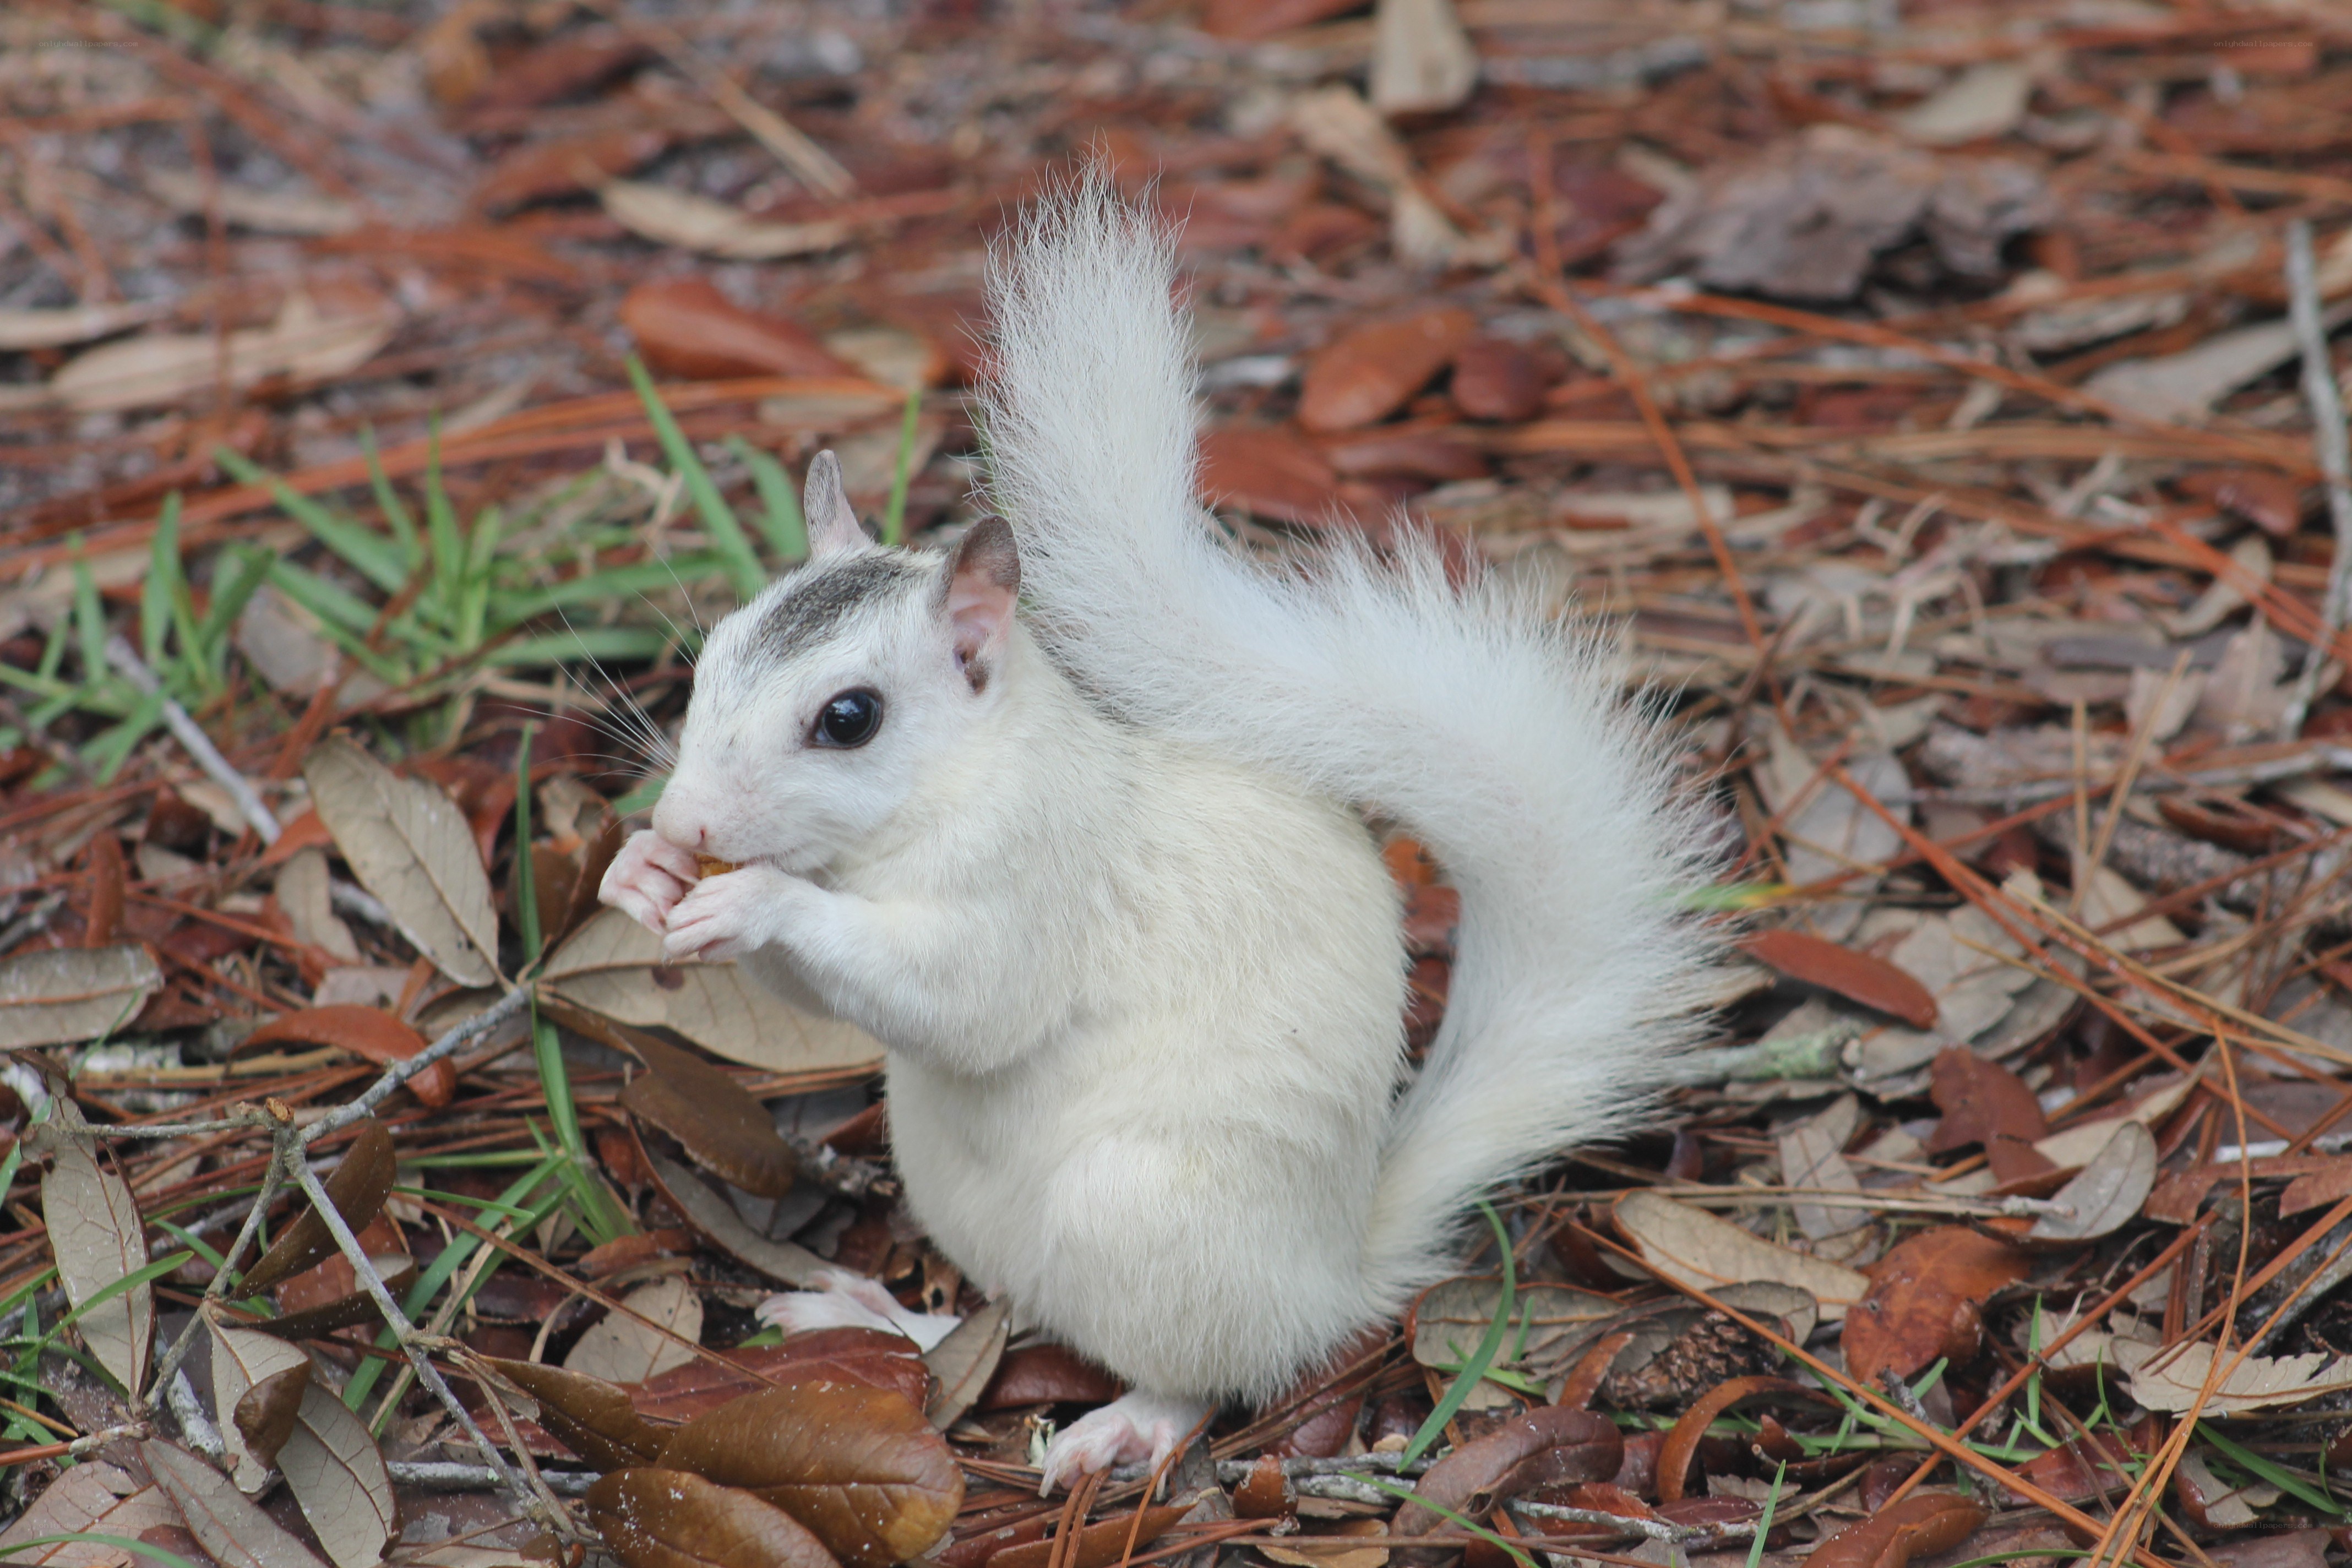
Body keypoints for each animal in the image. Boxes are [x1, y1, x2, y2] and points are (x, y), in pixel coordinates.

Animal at [599, 172, 1723, 1492]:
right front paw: (643, 871)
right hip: (956, 1188)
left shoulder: (1037, 870)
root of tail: (1330, 1274)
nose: (688, 817)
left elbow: (965, 997)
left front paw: (757, 897)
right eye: (713, 653)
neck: (942, 790)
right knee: (1007, 1314)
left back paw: (1124, 1423)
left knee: (1202, 1373)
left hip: (1141, 1214)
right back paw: (884, 1318)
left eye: (849, 718)